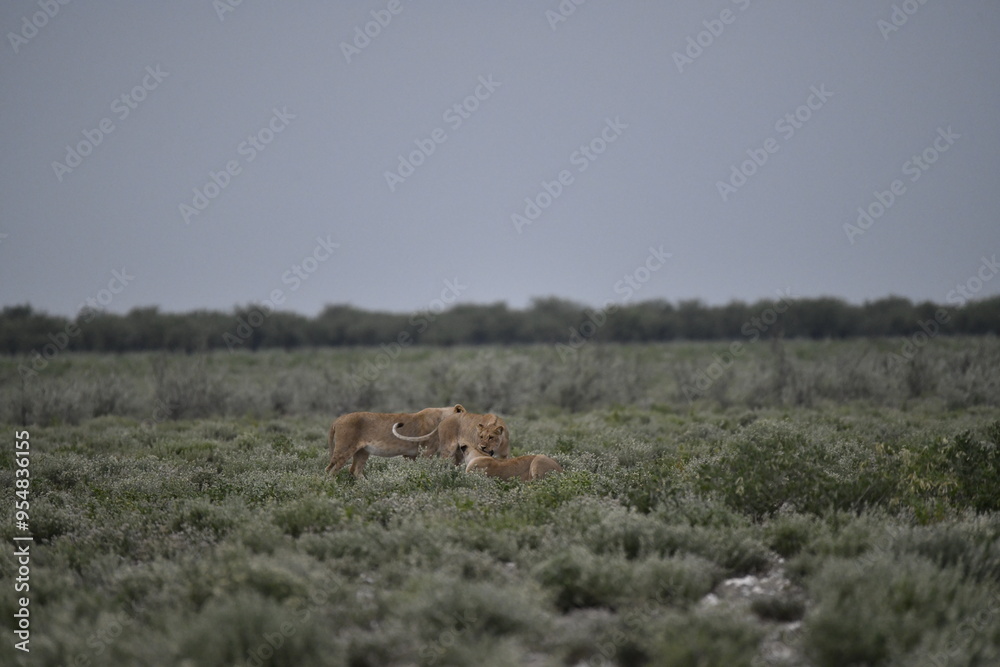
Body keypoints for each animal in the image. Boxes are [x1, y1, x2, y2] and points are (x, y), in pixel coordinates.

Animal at [325, 404, 465, 478]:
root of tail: (337, 420)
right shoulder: (427, 451)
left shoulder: (410, 455)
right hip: (344, 449)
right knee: (331, 470)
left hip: (362, 452)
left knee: (355, 470)